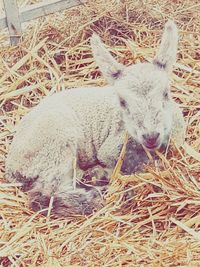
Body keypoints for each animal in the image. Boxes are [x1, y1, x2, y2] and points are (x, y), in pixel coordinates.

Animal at [5, 20, 185, 218]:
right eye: (122, 102)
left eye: (166, 93)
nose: (150, 136)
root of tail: (12, 166)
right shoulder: (110, 149)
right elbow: (133, 163)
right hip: (56, 143)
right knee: (44, 193)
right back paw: (94, 196)